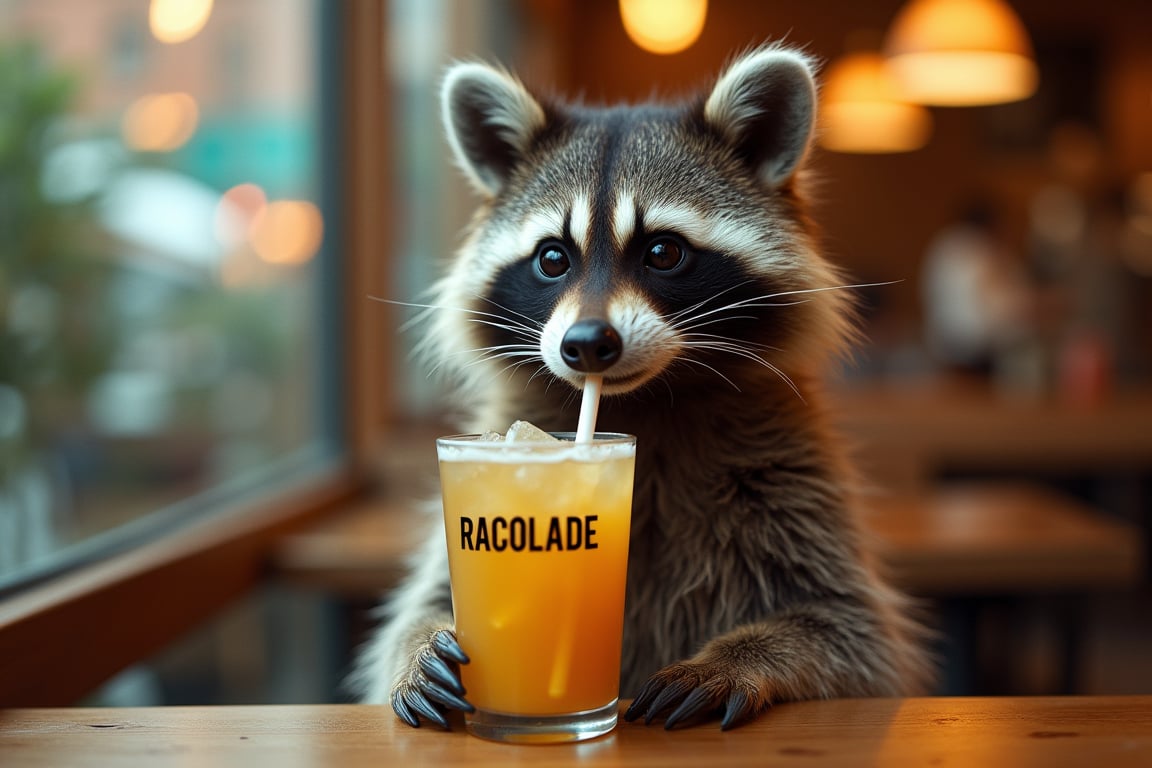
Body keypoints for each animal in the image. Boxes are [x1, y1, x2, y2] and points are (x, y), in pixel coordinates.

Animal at [352, 45, 935, 732]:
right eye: (552, 258)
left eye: (663, 252)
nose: (586, 345)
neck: (646, 400)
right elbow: (420, 604)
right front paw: (420, 646)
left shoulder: (796, 481)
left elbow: (850, 634)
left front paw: (736, 659)